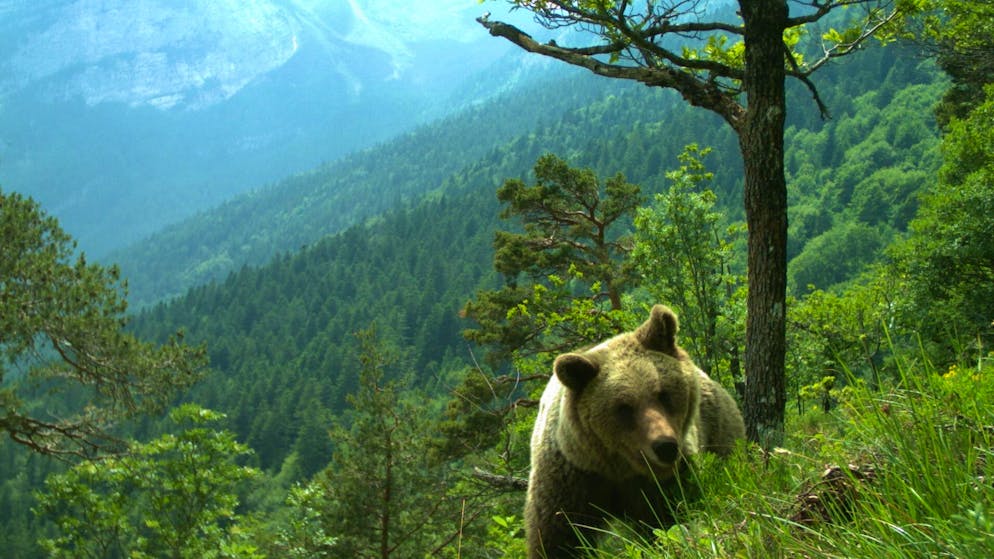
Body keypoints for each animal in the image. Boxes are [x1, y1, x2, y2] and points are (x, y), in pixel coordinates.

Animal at [525, 304, 746, 559]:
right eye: (624, 407)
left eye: (663, 394)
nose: (666, 447)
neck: (620, 468)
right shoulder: (572, 478)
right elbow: (559, 535)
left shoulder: (665, 482)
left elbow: (671, 518)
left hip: (719, 430)